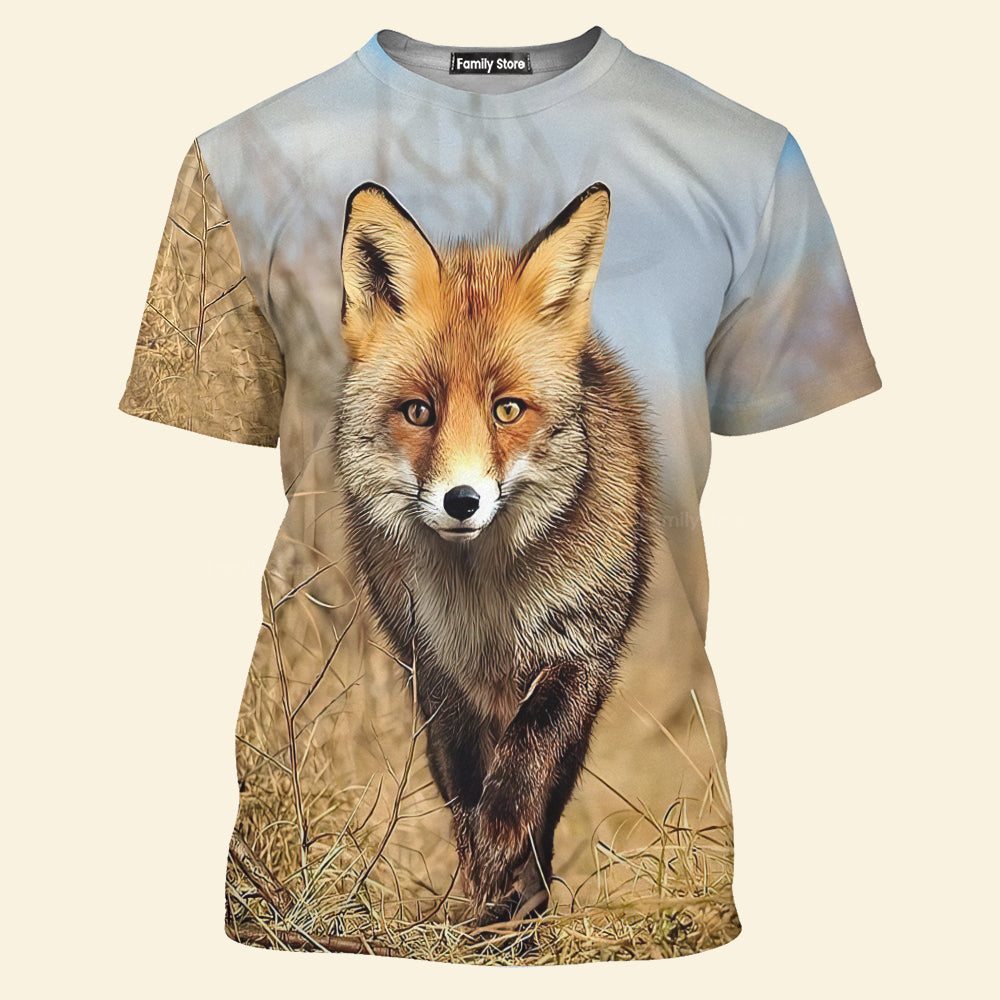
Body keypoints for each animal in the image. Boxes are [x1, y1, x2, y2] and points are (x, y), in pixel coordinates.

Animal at [329, 178, 665, 927]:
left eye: (507, 410)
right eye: (419, 411)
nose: (461, 501)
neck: (484, 603)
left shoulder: (577, 653)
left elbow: (524, 770)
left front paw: (505, 851)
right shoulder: (436, 672)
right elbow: (463, 792)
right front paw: (483, 891)